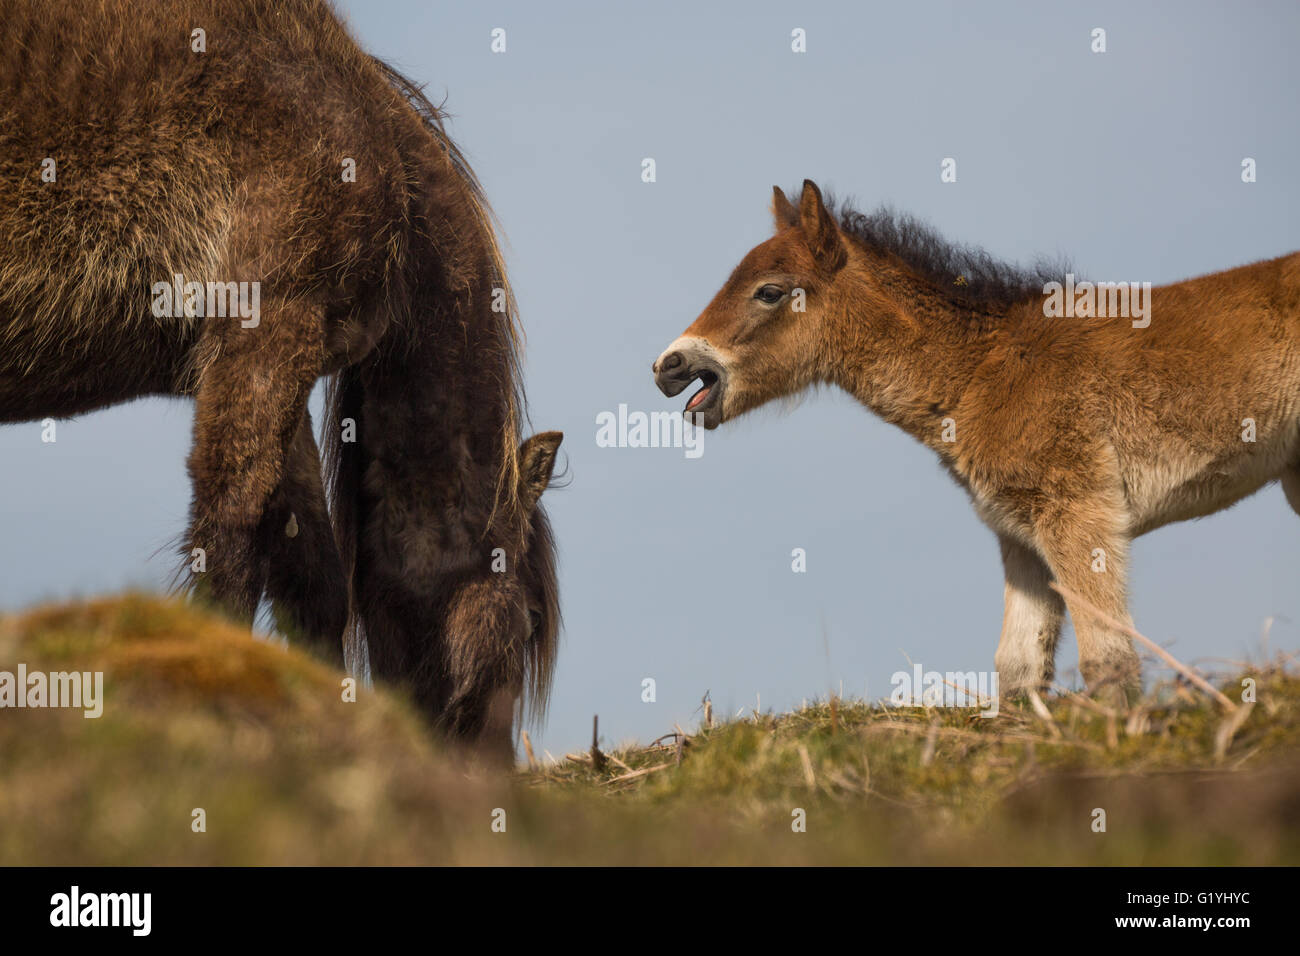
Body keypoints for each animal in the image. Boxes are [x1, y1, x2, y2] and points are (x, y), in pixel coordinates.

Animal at [0, 0, 561, 754]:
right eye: (528, 620)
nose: (492, 774)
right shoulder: (267, 332)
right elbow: (232, 527)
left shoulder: (274, 361)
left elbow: (312, 575)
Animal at [655, 179, 1300, 702]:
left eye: (769, 291)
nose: (670, 365)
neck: (981, 370)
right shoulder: (1020, 534)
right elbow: (1018, 667)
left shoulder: (1080, 513)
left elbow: (1108, 657)